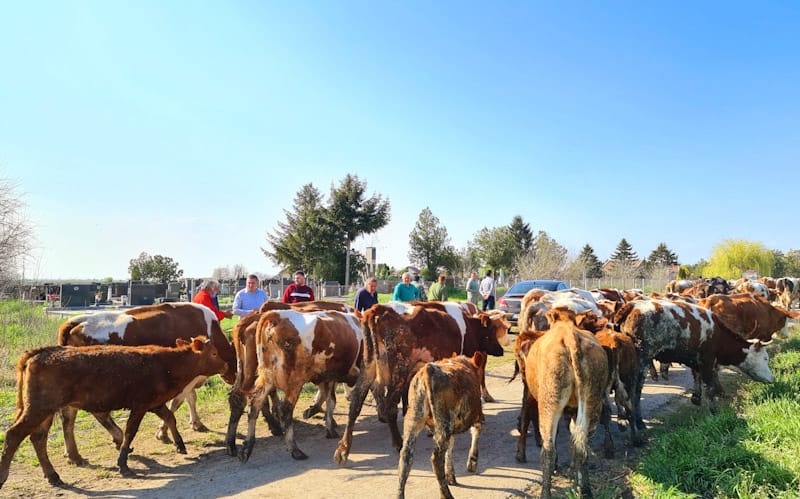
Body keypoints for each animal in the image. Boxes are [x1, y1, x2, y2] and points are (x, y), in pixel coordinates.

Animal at [0, 336, 227, 488]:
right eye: (215, 353)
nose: (226, 366)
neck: (168, 363)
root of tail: (41, 351)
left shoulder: (154, 403)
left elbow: (170, 417)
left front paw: (179, 444)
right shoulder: (140, 405)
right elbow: (130, 432)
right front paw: (123, 464)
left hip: (45, 411)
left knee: (38, 438)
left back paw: (53, 475)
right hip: (38, 408)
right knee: (14, 434)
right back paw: (5, 475)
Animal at [55, 302, 238, 466]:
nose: (233, 378)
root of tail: (76, 321)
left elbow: (189, 399)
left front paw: (195, 423)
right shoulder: (187, 378)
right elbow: (178, 402)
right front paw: (163, 432)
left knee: (69, 415)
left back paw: (73, 454)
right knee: (93, 413)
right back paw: (115, 439)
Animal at [238, 310, 362, 462]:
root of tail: (279, 316)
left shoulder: (328, 377)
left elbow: (330, 401)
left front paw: (329, 428)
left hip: (267, 378)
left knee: (254, 406)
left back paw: (247, 448)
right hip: (294, 381)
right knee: (285, 410)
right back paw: (295, 449)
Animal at [332, 300, 510, 468]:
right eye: (491, 331)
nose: (501, 350)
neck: (466, 326)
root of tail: (378, 309)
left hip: (369, 366)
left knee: (356, 402)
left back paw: (343, 449)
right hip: (399, 369)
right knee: (389, 406)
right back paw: (398, 442)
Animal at [396, 352, 484, 499]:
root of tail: (428, 369)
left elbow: (451, 446)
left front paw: (451, 476)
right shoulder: (477, 414)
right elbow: (476, 432)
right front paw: (472, 462)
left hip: (413, 419)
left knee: (405, 458)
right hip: (444, 423)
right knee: (436, 459)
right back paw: (446, 495)